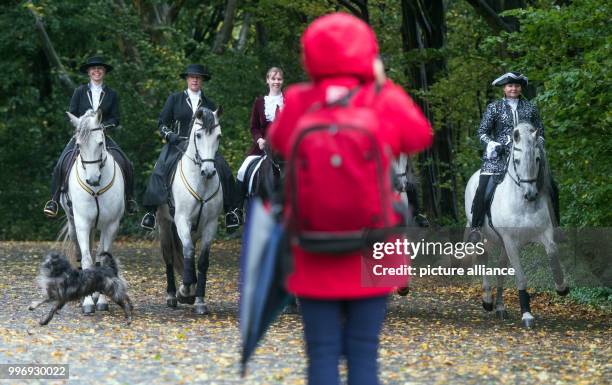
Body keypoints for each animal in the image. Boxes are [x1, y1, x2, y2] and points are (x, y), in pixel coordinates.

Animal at [62, 109, 125, 314]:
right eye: (79, 145)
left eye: (100, 143)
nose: (92, 180)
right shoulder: (82, 223)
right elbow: (87, 260)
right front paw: (88, 303)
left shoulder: (110, 225)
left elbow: (102, 261)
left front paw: (101, 300)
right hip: (74, 224)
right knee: (82, 253)